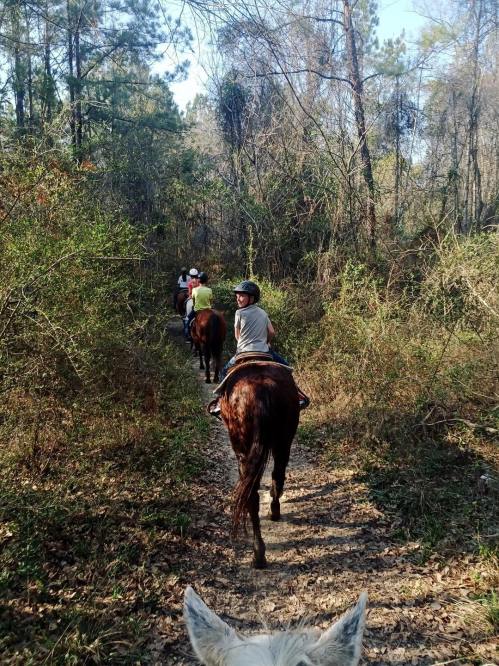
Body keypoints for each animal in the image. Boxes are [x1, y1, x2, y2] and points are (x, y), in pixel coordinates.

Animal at [219, 361, 300, 568]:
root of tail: (261, 390)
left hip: (243, 450)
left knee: (251, 496)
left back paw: (258, 554)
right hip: (284, 442)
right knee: (278, 475)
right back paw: (274, 511)